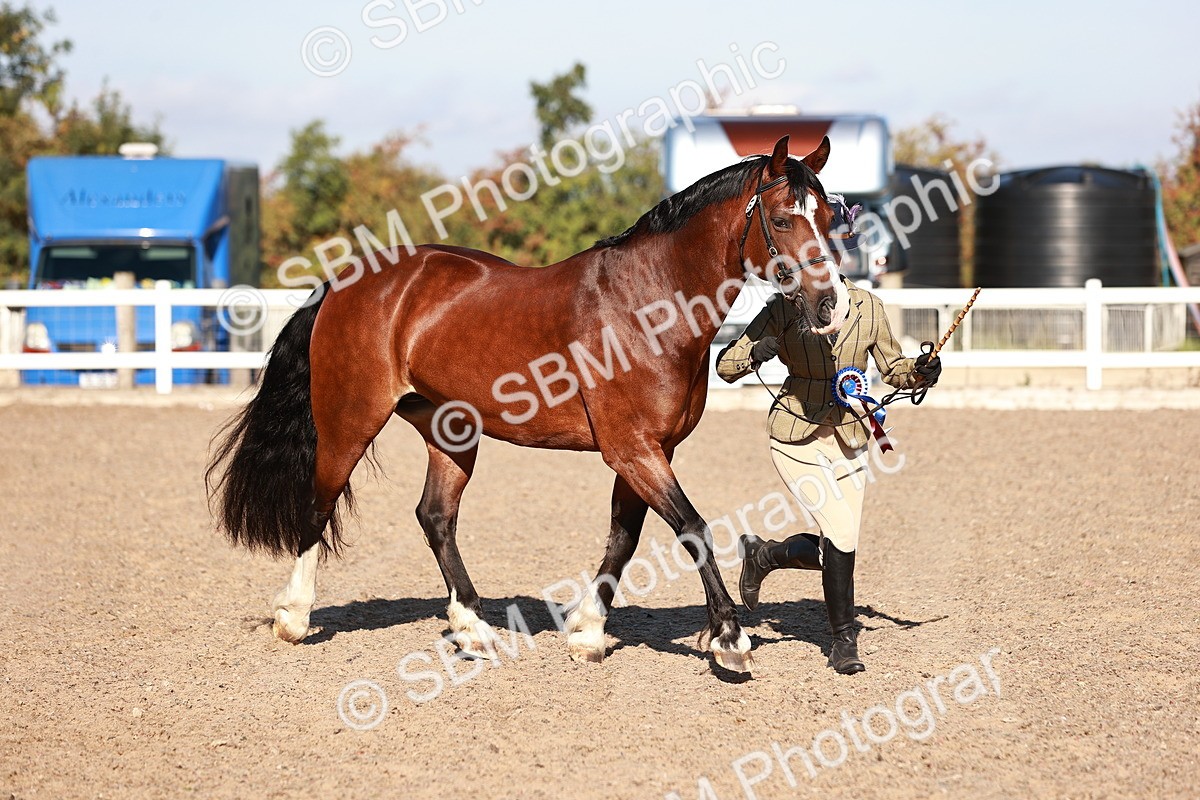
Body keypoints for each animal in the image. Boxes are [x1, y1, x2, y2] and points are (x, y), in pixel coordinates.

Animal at [206, 134, 850, 673]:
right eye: (784, 218)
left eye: (830, 218)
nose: (831, 307)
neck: (647, 304)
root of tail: (347, 282)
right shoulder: (633, 449)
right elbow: (692, 528)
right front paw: (730, 640)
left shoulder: (646, 451)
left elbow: (624, 538)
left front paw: (587, 632)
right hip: (349, 422)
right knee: (317, 508)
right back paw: (294, 617)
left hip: (449, 433)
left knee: (435, 518)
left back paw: (474, 629)